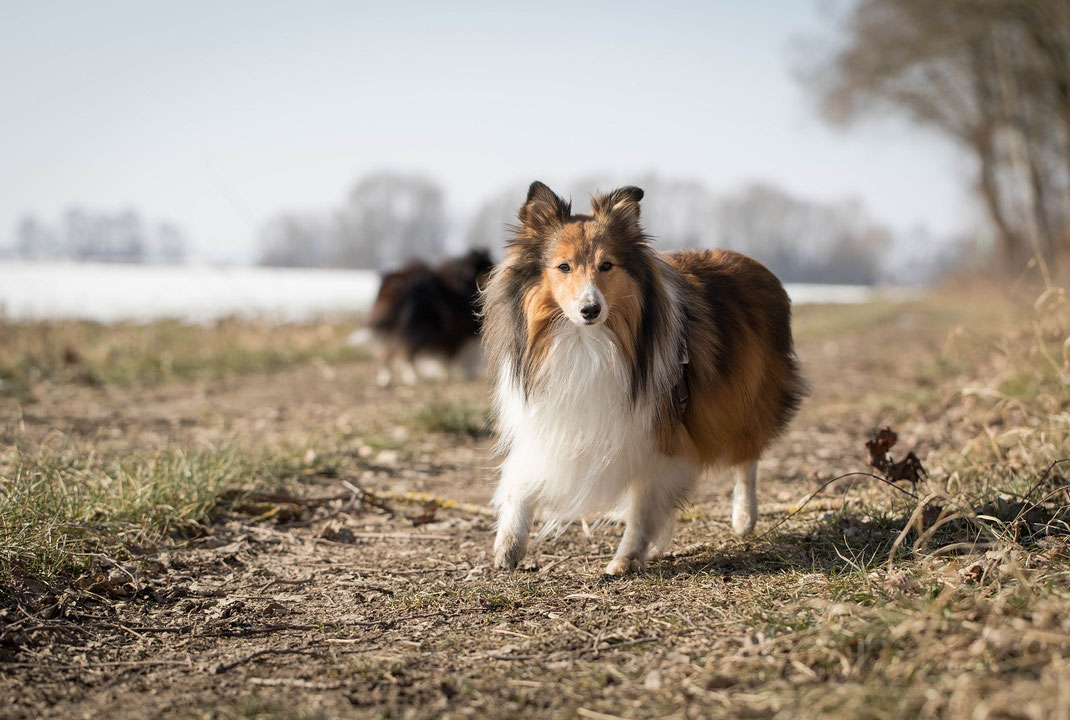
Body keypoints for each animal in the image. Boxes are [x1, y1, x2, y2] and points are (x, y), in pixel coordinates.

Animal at [357, 247, 494, 385]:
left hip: (395, 332)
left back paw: (384, 381)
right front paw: (453, 374)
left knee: (386, 354)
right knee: (406, 354)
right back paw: (412, 378)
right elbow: (455, 356)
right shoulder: (458, 334)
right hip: (417, 331)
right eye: (488, 269)